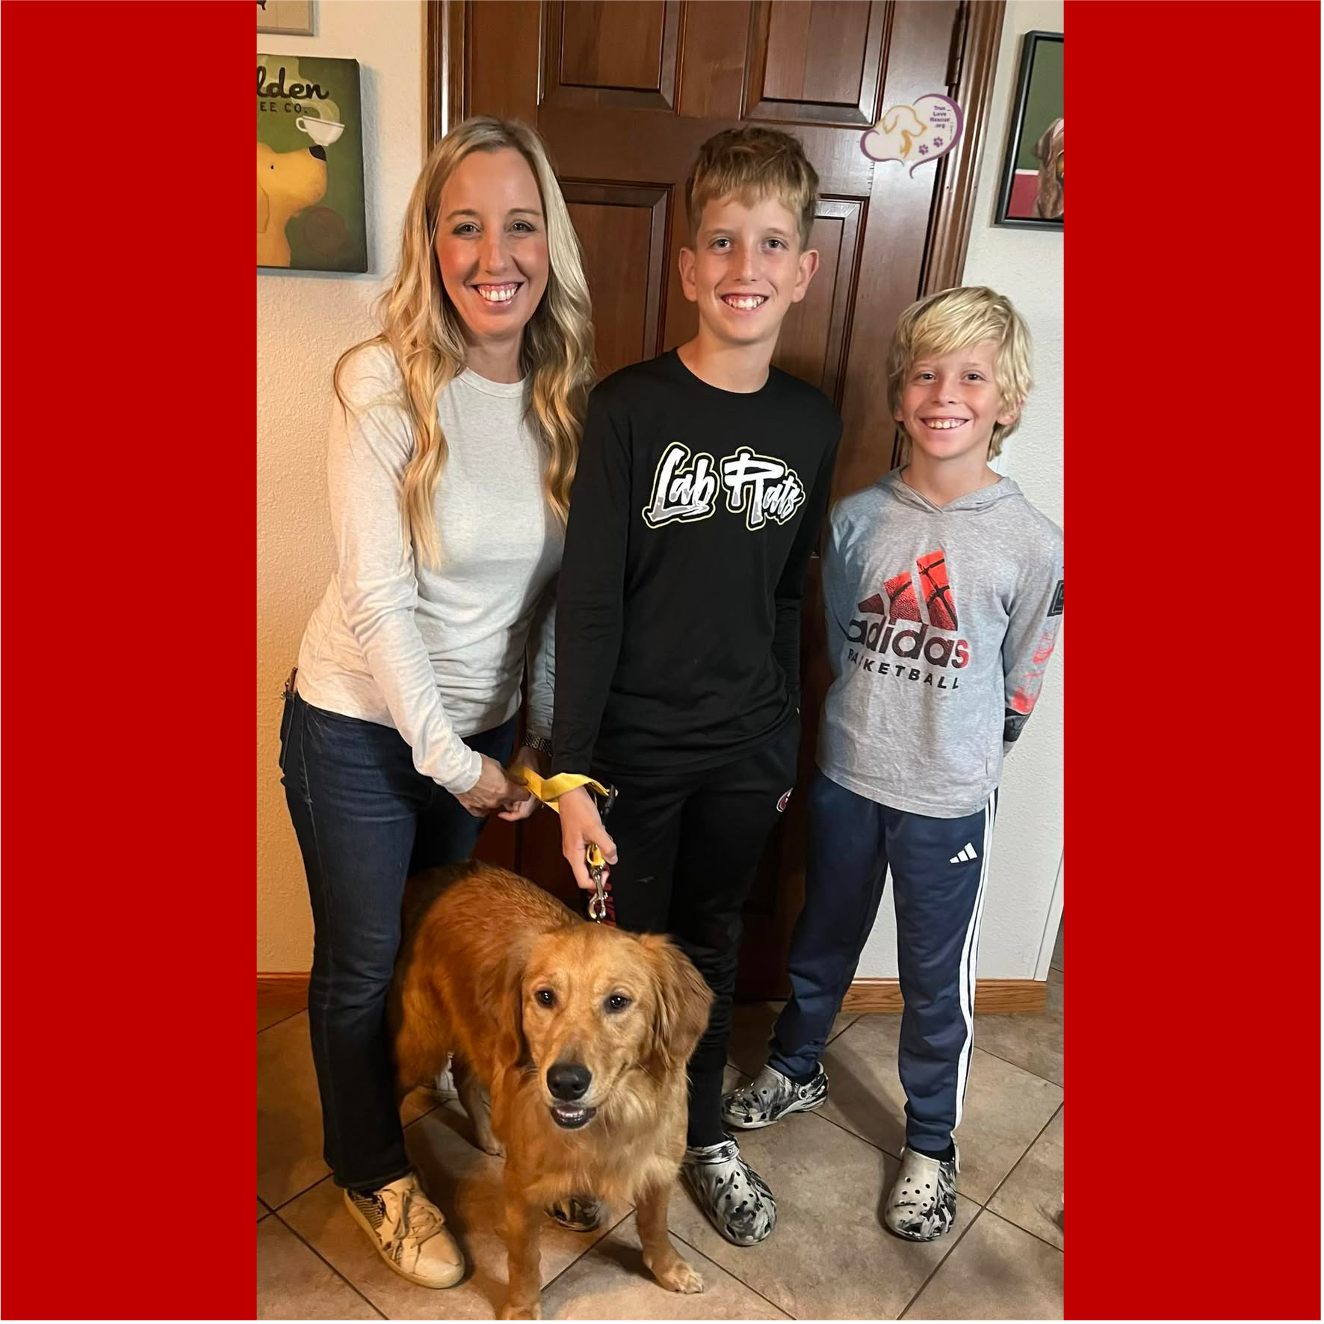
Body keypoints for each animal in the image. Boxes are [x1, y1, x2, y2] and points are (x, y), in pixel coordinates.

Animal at [390, 862, 714, 1321]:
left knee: (467, 1077)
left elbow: (655, 1224)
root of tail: (443, 872)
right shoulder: (522, 1191)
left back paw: (489, 1135)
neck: (609, 1121)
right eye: (545, 996)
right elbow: (524, 1259)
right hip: (421, 1045)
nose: (565, 1082)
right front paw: (522, 1308)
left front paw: (669, 1268)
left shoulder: (658, 1164)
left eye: (618, 1001)